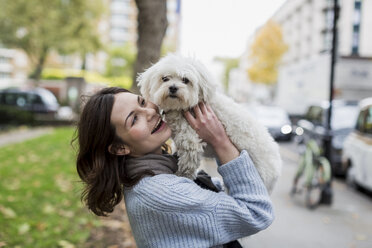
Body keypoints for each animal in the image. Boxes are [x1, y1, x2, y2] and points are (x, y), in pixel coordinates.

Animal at [138, 54, 280, 194]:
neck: (182, 108)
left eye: (185, 80)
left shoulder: (191, 142)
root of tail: (277, 168)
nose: (173, 87)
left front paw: (181, 176)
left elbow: (187, 166)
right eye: (165, 78)